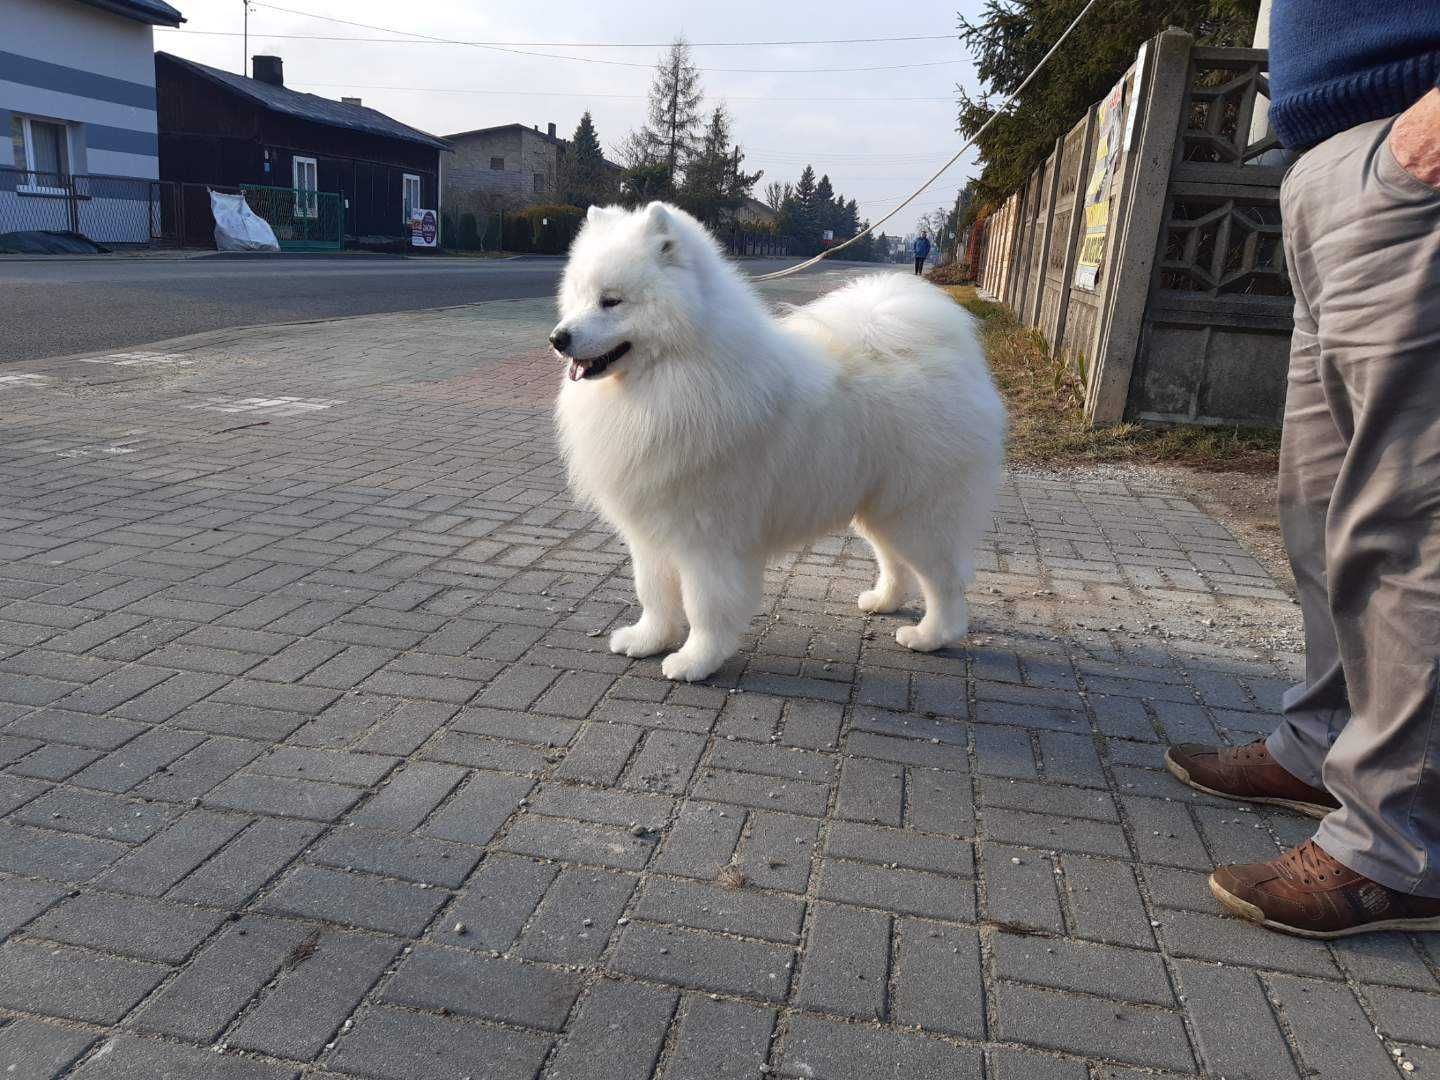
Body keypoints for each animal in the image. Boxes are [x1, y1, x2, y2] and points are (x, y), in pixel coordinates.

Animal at [547, 201, 1002, 685]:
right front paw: (648, 639)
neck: (670, 375)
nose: (558, 338)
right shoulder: (651, 529)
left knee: (944, 578)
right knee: (895, 562)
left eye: (611, 301)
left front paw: (695, 661)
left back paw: (932, 635)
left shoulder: (707, 537)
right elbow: (652, 593)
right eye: (578, 297)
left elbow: (704, 605)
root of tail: (952, 357)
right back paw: (883, 601)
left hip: (918, 513)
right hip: (880, 507)